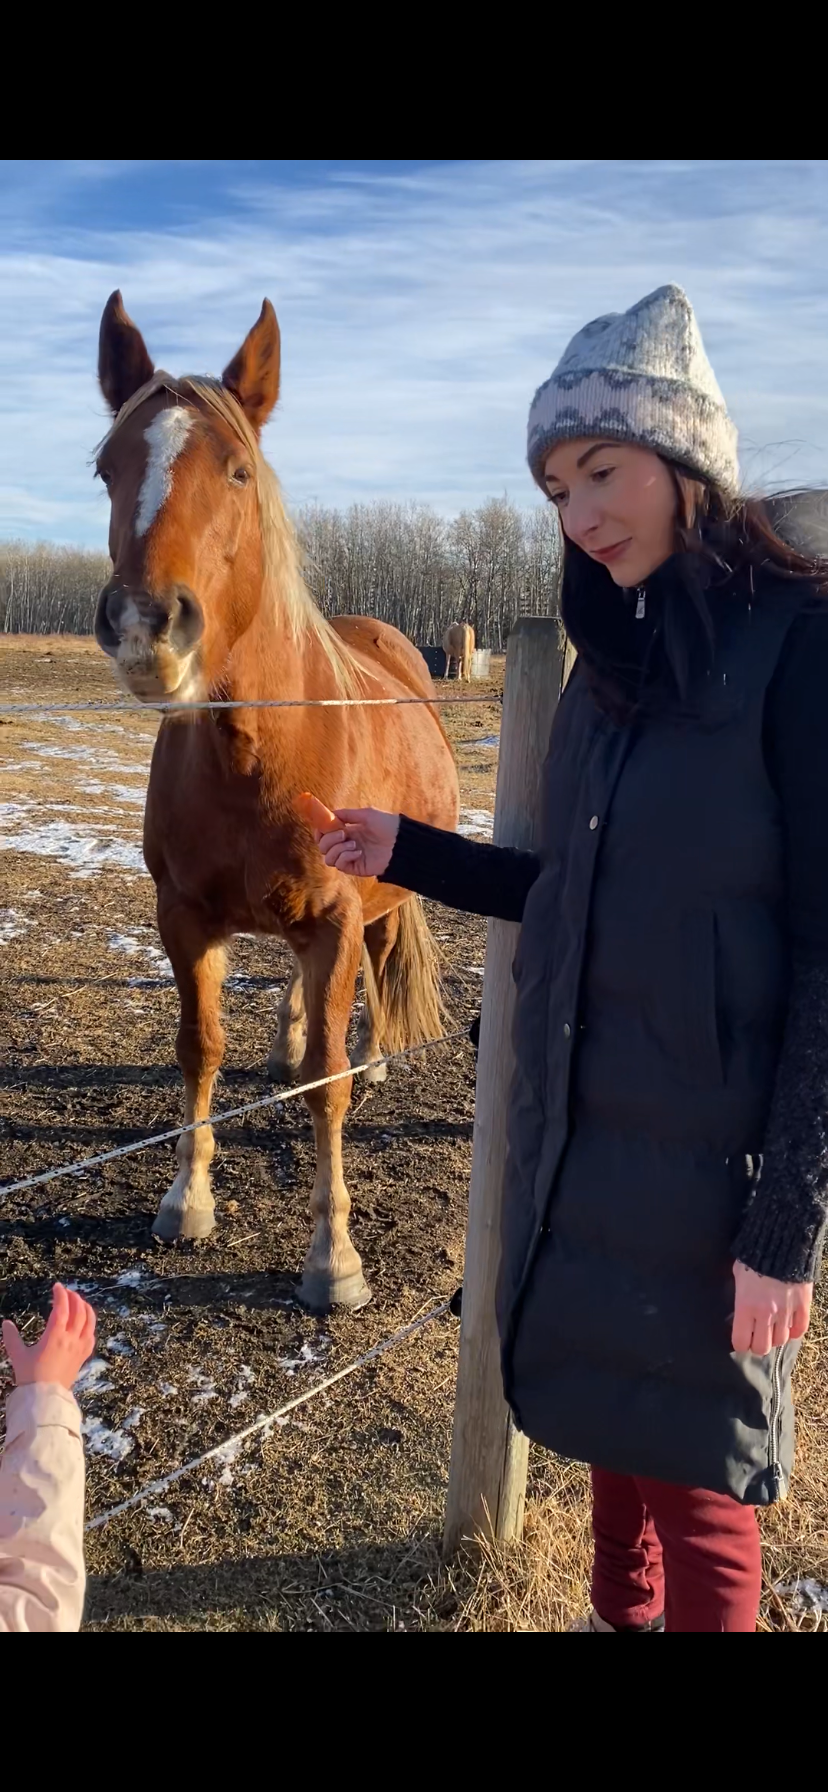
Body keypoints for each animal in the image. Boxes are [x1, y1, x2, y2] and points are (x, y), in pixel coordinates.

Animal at [92, 292, 459, 1312]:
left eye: (238, 470)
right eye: (106, 469)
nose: (146, 625)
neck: (260, 753)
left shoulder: (333, 915)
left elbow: (329, 1087)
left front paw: (333, 1259)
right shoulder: (183, 917)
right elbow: (199, 1047)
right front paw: (186, 1200)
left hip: (381, 900)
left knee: (373, 968)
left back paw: (374, 1052)